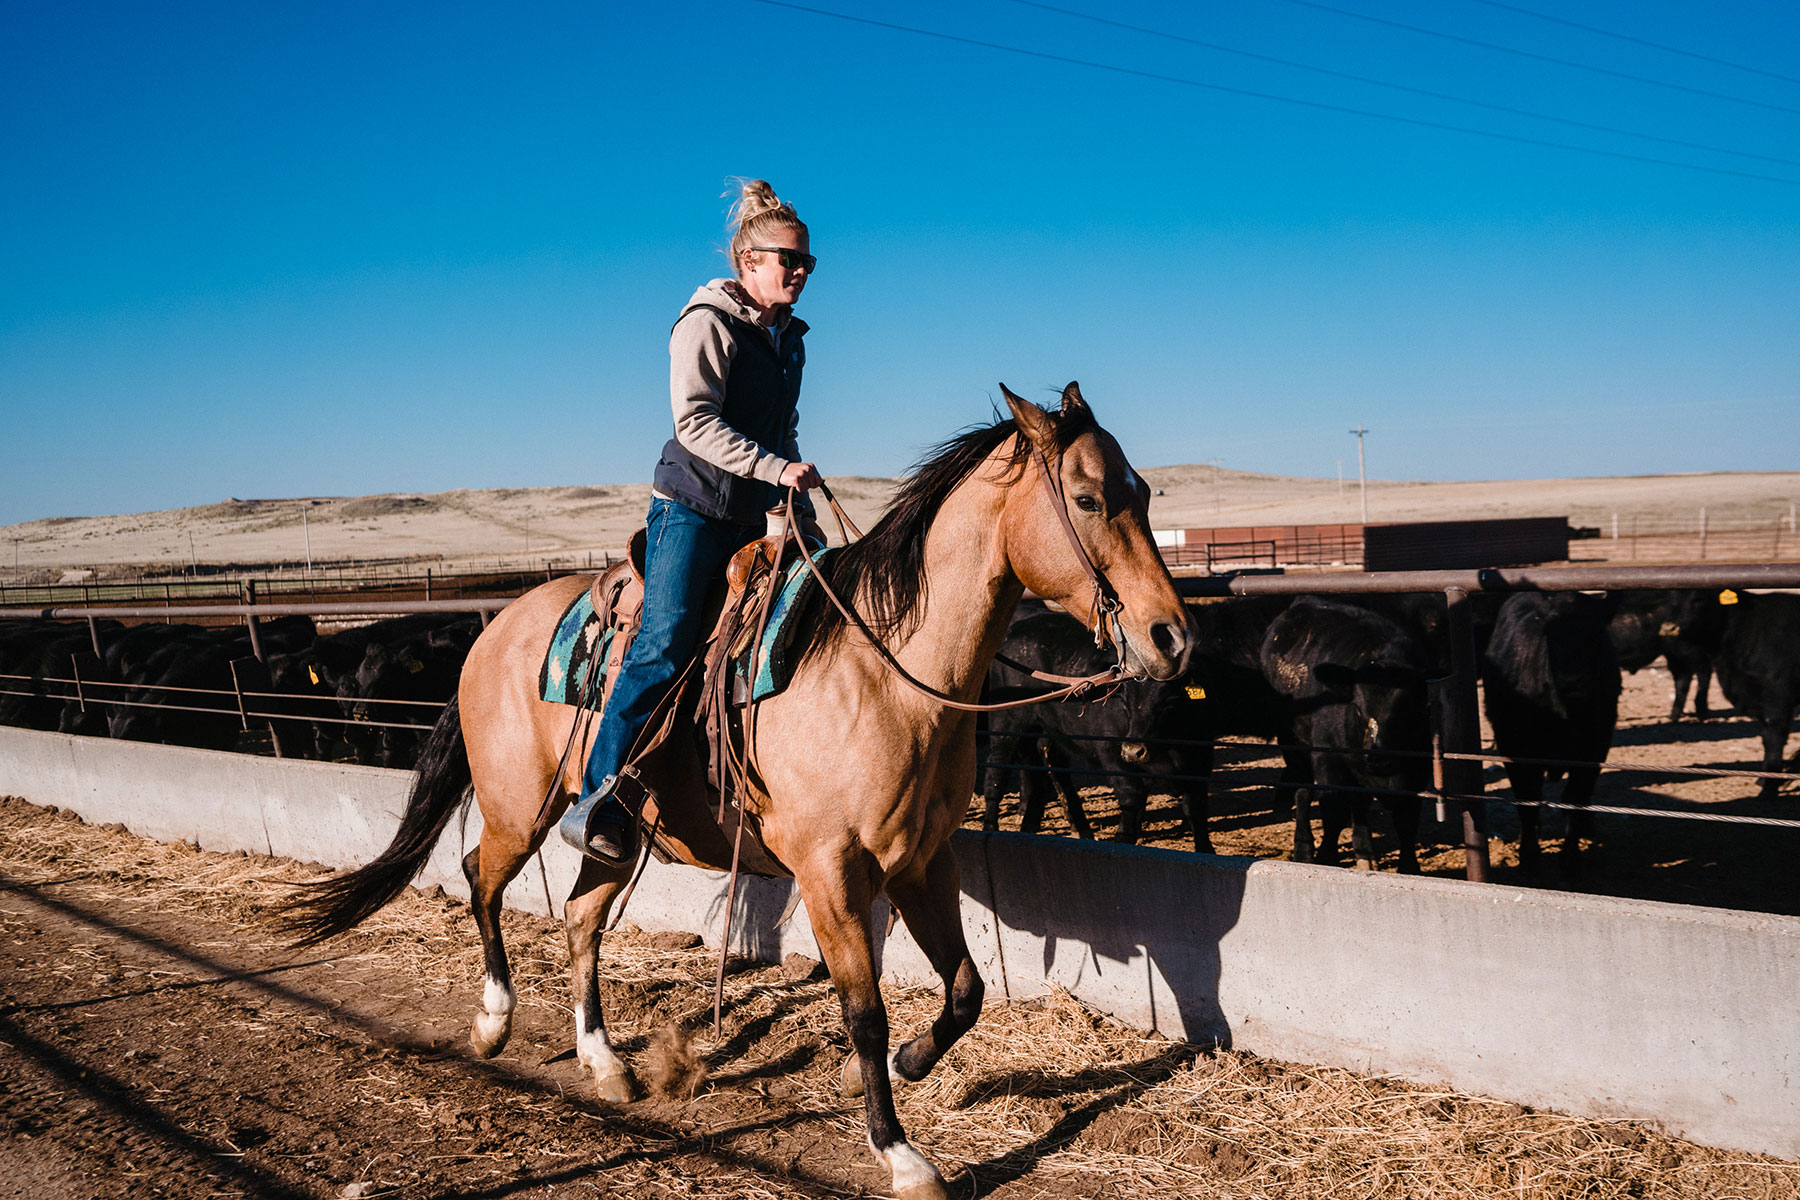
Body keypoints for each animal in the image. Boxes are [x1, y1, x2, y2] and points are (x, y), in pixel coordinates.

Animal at [1260, 596, 1433, 872]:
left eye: (1409, 710)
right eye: (1359, 708)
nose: (1379, 759)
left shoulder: (1419, 767)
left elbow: (1406, 819)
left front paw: (1409, 869)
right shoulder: (1328, 759)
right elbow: (1334, 812)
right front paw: (1326, 858)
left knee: (1359, 802)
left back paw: (1364, 852)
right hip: (1294, 743)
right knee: (1303, 792)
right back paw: (1303, 848)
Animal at [1482, 591, 1622, 875]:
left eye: (1595, 636)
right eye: (1551, 636)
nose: (1573, 682)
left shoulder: (1595, 748)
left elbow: (1574, 800)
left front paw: (1570, 860)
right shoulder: (1515, 747)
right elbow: (1528, 800)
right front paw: (1528, 857)